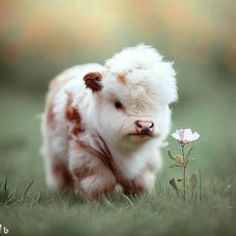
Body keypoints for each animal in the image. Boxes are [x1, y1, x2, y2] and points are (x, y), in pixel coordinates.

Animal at [41, 44, 177, 199]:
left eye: (159, 104)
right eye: (118, 104)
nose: (145, 125)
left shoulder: (147, 159)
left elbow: (140, 181)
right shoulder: (87, 152)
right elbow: (100, 181)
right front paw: (101, 200)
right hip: (54, 153)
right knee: (60, 175)